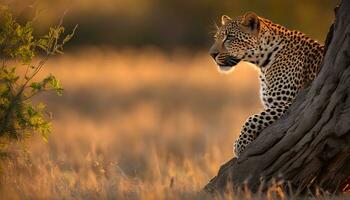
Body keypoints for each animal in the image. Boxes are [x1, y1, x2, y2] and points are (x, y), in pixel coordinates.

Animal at [209, 11, 324, 157]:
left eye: (229, 38)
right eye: (216, 38)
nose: (212, 54)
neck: (262, 64)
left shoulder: (292, 102)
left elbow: (253, 118)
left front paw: (239, 145)